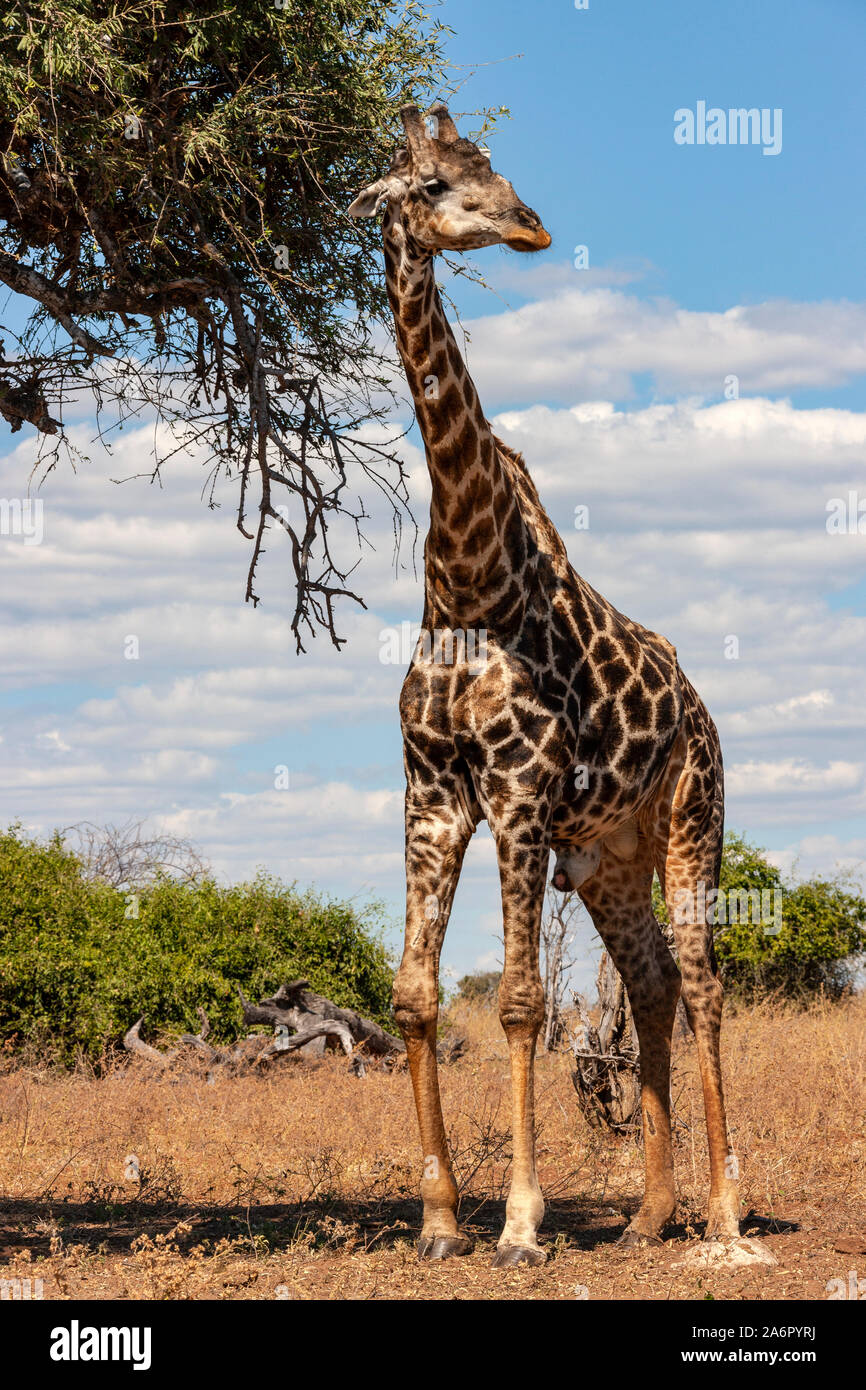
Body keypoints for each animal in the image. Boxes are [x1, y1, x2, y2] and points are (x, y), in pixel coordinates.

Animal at [348, 102, 739, 1267]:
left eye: (492, 168)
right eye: (432, 184)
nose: (529, 225)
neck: (464, 583)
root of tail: (704, 712)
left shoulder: (518, 788)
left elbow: (521, 1001)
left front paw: (519, 1225)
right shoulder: (433, 792)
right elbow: (415, 995)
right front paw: (438, 1221)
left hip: (691, 818)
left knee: (703, 980)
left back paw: (723, 1210)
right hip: (609, 855)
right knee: (651, 982)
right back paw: (649, 1213)